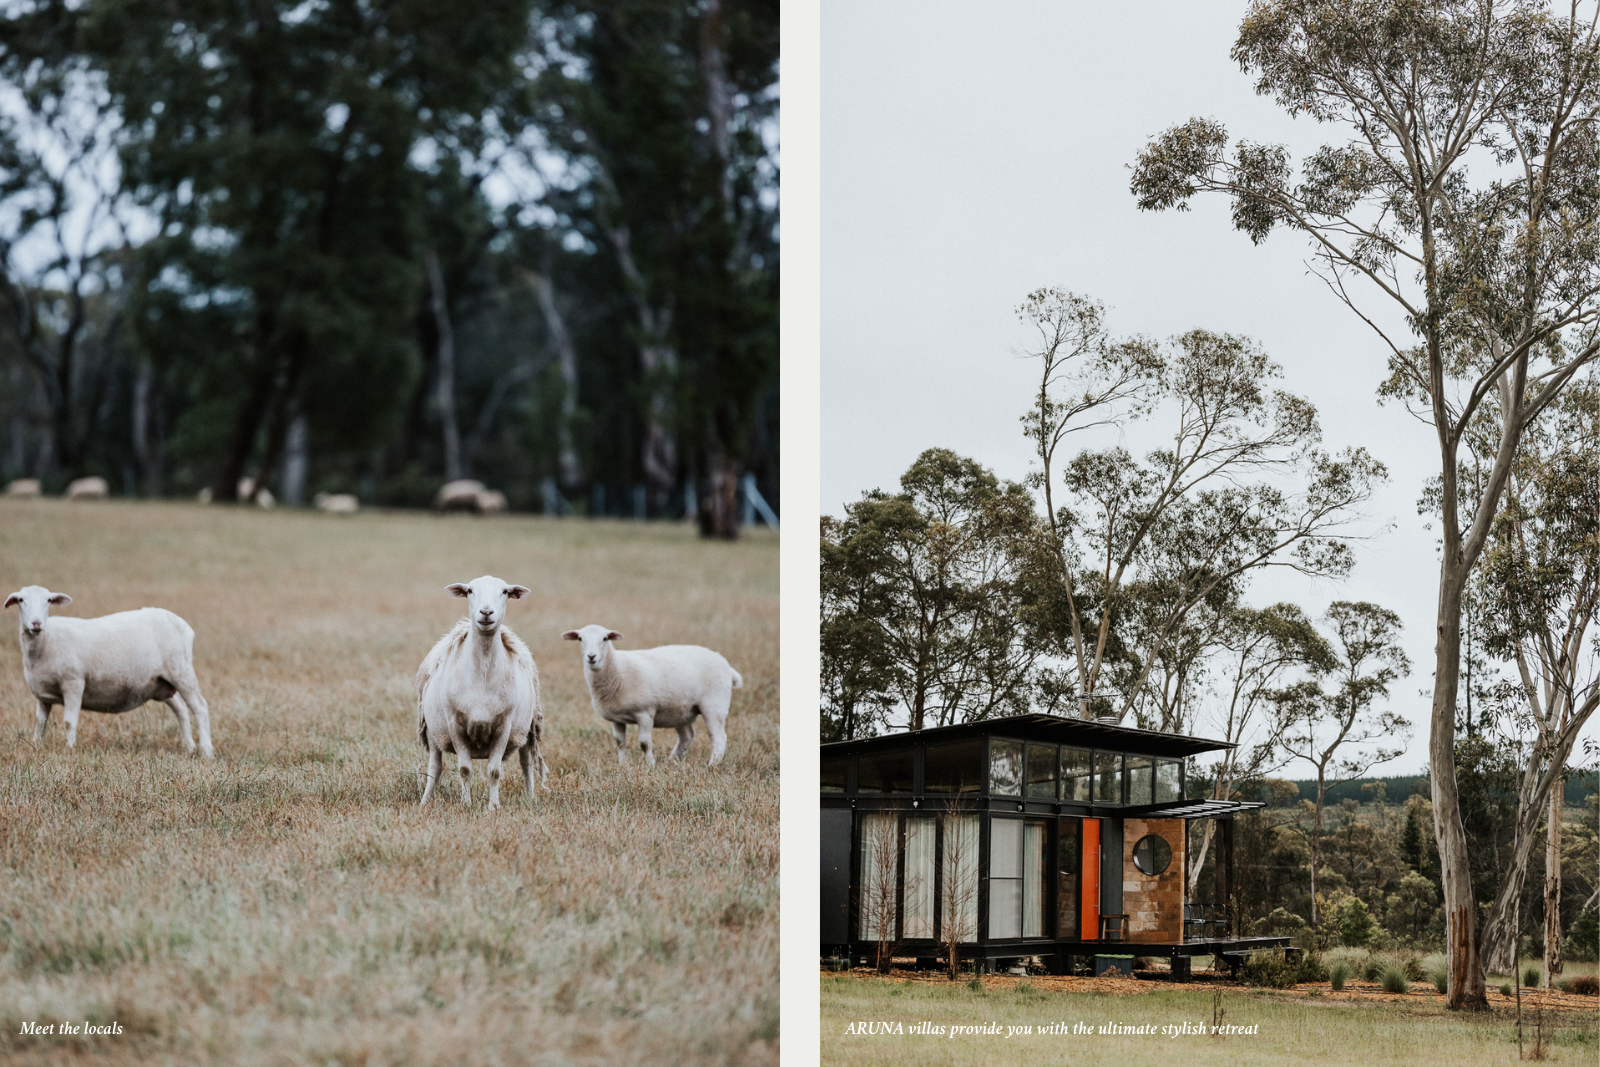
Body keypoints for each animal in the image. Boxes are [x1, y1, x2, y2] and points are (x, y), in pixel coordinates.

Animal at [4, 585, 214, 758]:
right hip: (161, 682)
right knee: (180, 708)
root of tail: (179, 622)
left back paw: (206, 751)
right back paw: (188, 747)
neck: (45, 642)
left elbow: (69, 721)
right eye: (21, 600)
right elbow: (40, 723)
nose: (36, 623)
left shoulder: (73, 682)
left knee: (200, 707)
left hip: (182, 671)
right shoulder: (43, 695)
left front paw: (70, 749)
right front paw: (36, 747)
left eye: (48, 600)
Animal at [416, 575, 547, 809]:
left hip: (528, 729)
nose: (486, 612)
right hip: (433, 730)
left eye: (505, 592)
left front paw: (493, 807)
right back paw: (425, 801)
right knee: (435, 767)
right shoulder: (454, 724)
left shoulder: (504, 725)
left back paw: (530, 798)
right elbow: (464, 769)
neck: (482, 674)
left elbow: (494, 771)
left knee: (527, 763)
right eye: (469, 591)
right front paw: (466, 804)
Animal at [560, 627, 739, 767]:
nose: (591, 657)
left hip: (714, 704)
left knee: (719, 738)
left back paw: (712, 765)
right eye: (580, 638)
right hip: (680, 710)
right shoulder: (616, 719)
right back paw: (672, 761)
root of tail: (727, 666)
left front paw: (649, 765)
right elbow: (619, 743)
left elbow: (644, 743)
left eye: (604, 638)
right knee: (687, 737)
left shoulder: (645, 712)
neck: (618, 669)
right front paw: (622, 765)